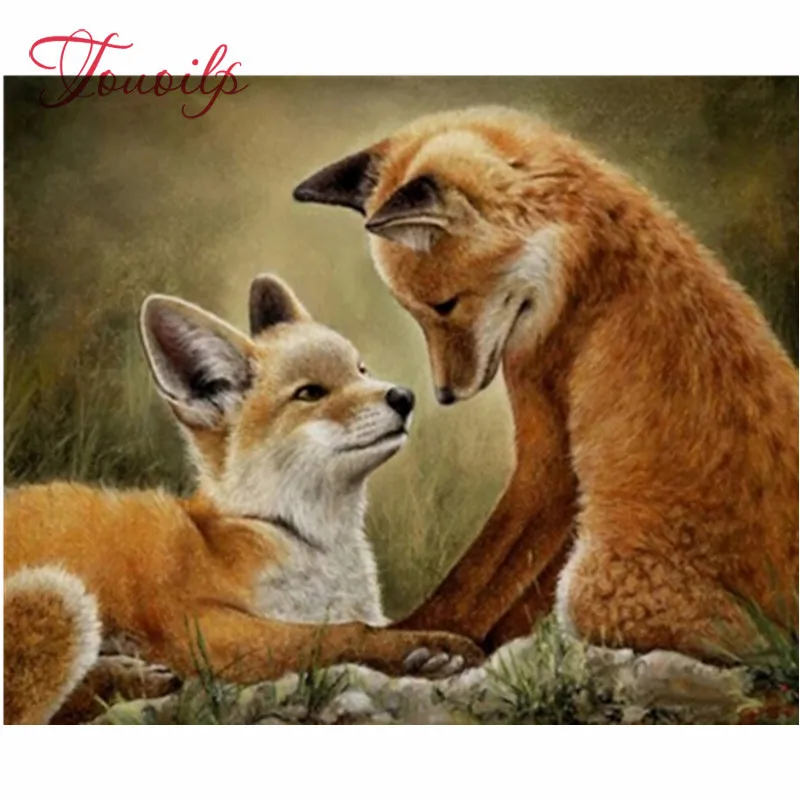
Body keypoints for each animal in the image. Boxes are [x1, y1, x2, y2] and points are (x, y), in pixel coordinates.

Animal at [3, 274, 483, 724]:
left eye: (360, 370)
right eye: (311, 393)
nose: (404, 396)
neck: (300, 537)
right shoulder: (199, 629)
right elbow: (339, 633)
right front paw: (425, 648)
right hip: (62, 597)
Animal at [292, 105, 799, 662]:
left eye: (443, 306)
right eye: (414, 313)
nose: (443, 396)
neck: (585, 256)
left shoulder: (550, 452)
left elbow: (483, 571)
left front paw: (428, 635)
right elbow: (509, 587)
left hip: (592, 591)